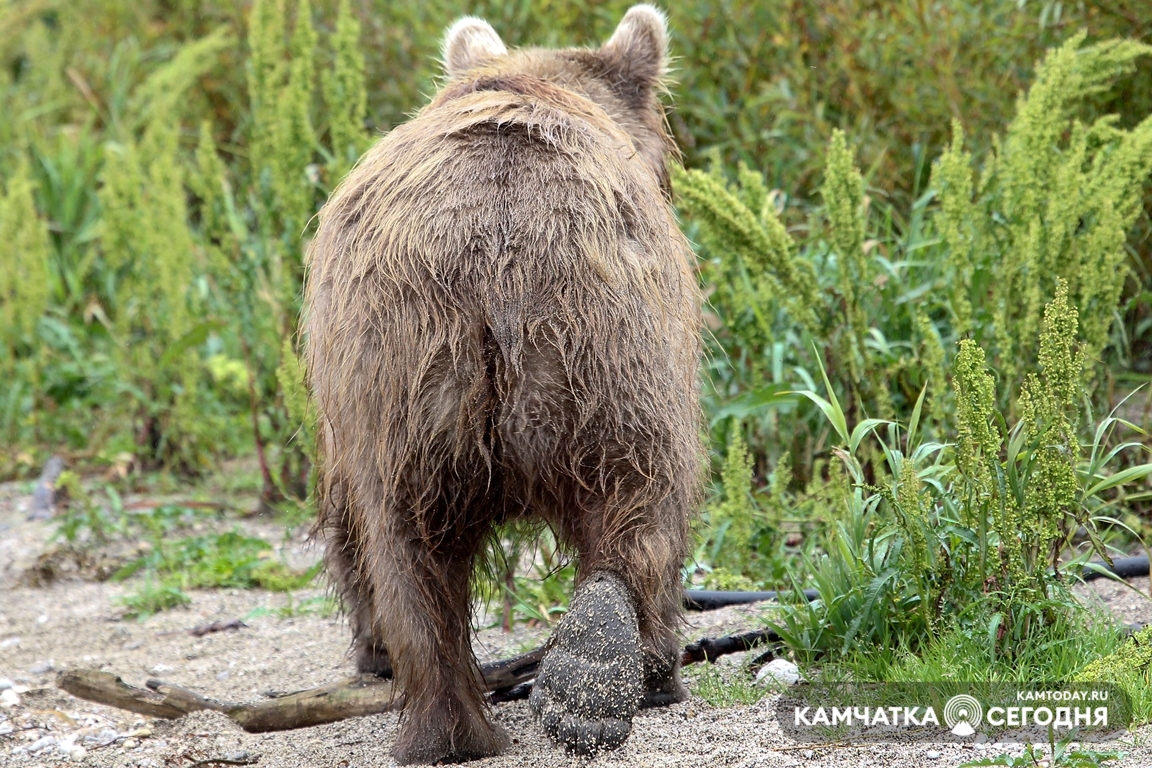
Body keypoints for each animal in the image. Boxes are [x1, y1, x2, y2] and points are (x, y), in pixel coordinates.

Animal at [304, 6, 700, 764]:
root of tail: (498, 244)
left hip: (428, 362)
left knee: (410, 548)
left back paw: (488, 713)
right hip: (599, 337)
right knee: (644, 494)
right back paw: (614, 678)